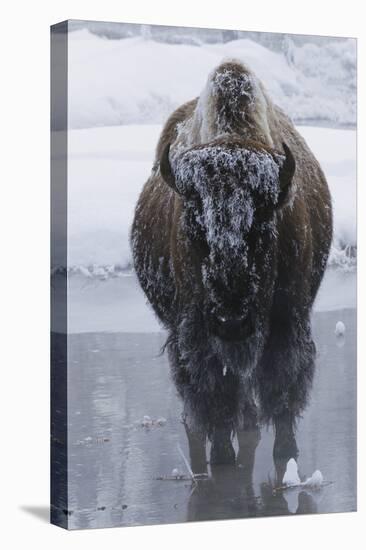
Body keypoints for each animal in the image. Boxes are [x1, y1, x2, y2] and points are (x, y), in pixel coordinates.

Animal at [131, 59, 332, 474]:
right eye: (195, 225)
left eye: (262, 223)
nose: (232, 321)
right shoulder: (196, 333)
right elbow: (215, 397)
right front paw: (223, 459)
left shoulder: (287, 321)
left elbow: (281, 391)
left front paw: (286, 456)